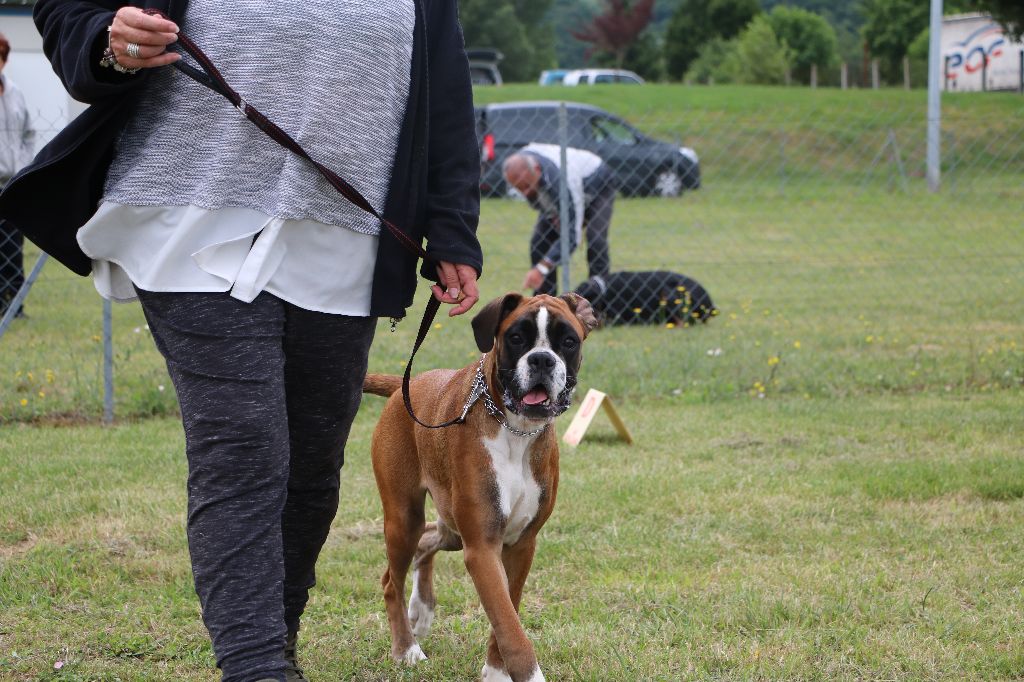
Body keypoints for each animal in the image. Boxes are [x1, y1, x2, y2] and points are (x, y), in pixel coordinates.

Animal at [362, 290, 598, 679]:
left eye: (568, 341)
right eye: (516, 337)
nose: (542, 360)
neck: (515, 429)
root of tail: (405, 385)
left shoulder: (520, 545)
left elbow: (508, 612)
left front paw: (496, 671)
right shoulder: (483, 547)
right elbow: (510, 627)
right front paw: (528, 674)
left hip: (452, 529)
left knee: (427, 541)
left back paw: (422, 610)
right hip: (404, 518)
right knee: (391, 579)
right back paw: (407, 648)